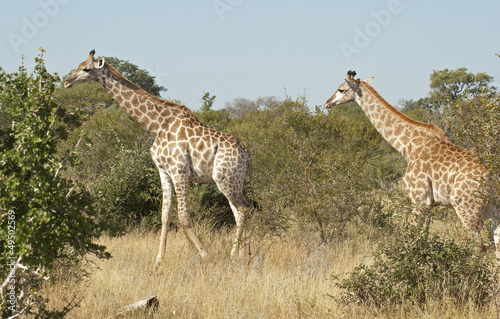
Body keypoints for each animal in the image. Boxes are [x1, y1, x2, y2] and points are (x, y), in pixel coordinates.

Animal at [65, 50, 254, 270]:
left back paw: (236, 256)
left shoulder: (179, 170)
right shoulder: (163, 171)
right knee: (242, 210)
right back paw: (242, 254)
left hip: (225, 179)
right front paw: (158, 261)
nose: (67, 82)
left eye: (86, 69)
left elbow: (183, 217)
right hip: (233, 181)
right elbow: (165, 216)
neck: (156, 126)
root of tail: (246, 154)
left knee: (243, 209)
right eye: (78, 65)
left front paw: (206, 257)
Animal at [324, 70, 500, 260]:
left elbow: (412, 238)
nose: (327, 103)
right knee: (496, 239)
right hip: (491, 206)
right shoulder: (429, 204)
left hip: (465, 206)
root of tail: (493, 177)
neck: (406, 146)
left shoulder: (418, 199)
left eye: (341, 89)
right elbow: (422, 239)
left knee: (479, 244)